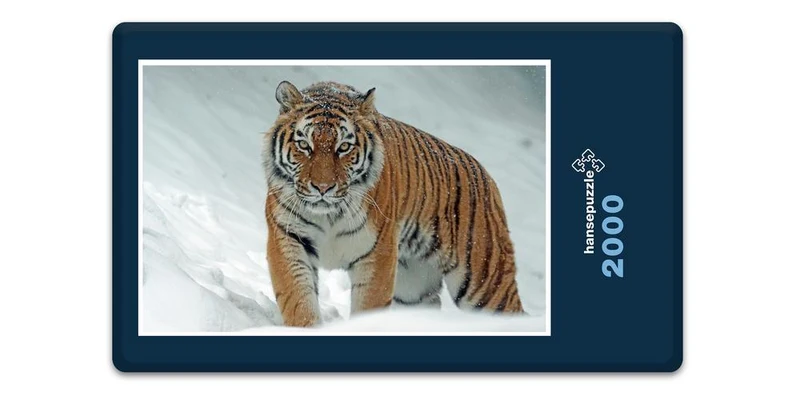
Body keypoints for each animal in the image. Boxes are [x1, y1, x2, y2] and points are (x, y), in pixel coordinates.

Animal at [261, 80, 525, 327]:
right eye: (304, 145)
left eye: (344, 147)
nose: (323, 188)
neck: (328, 215)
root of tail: (487, 176)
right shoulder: (288, 238)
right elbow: (298, 299)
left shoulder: (377, 252)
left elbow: (368, 306)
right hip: (413, 288)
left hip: (485, 281)